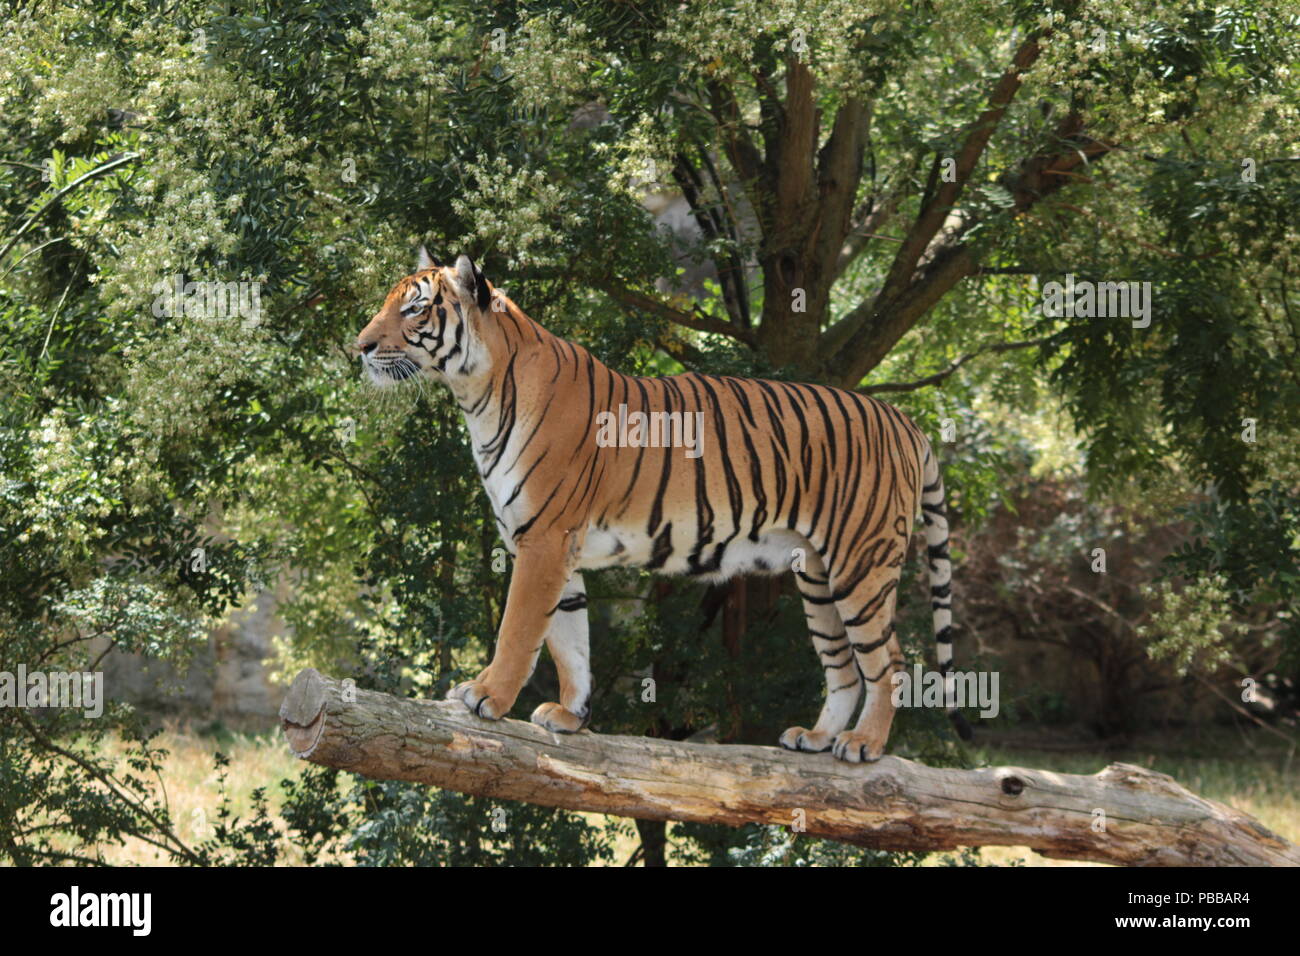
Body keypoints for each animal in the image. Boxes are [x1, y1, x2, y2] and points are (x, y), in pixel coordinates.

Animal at [353, 251, 967, 764]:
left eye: (413, 308)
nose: (359, 346)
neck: (476, 393)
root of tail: (904, 420)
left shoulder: (543, 540)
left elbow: (519, 629)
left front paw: (486, 695)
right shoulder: (556, 546)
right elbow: (570, 642)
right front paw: (570, 716)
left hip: (860, 564)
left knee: (889, 663)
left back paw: (864, 744)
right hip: (816, 575)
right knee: (843, 667)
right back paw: (816, 738)